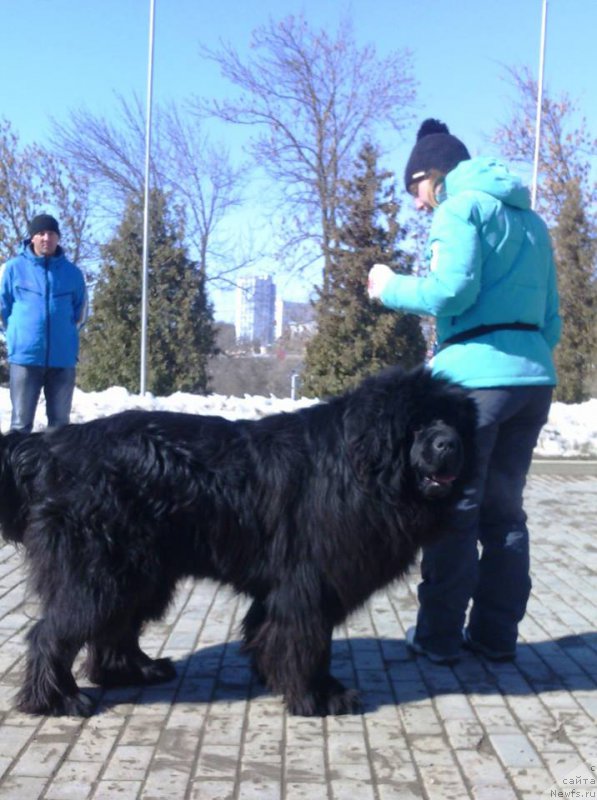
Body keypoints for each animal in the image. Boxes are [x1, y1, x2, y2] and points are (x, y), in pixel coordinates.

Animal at [0, 368, 474, 720]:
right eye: (416, 425)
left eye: (453, 421)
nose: (450, 443)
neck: (359, 468)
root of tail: (52, 446)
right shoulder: (309, 584)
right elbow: (308, 642)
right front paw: (318, 696)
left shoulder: (287, 586)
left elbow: (272, 632)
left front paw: (282, 678)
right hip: (100, 569)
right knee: (54, 631)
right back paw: (57, 699)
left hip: (141, 571)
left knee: (116, 625)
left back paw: (135, 670)